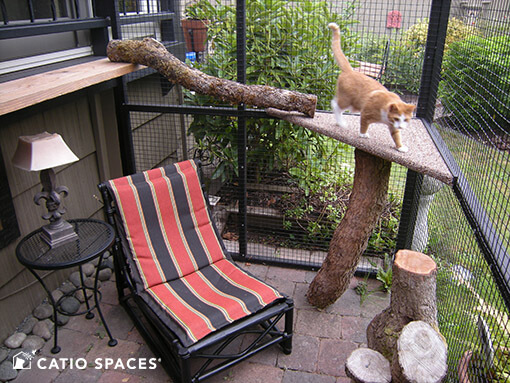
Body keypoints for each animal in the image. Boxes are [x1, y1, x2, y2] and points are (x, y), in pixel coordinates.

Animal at [328, 22, 416, 153]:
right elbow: (364, 124)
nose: (401, 126)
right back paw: (341, 122)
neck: (385, 117)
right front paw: (363, 134)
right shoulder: (366, 112)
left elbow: (396, 136)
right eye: (397, 118)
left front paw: (400, 147)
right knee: (335, 104)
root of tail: (350, 70)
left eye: (405, 120)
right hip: (347, 100)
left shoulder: (393, 127)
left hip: (353, 105)